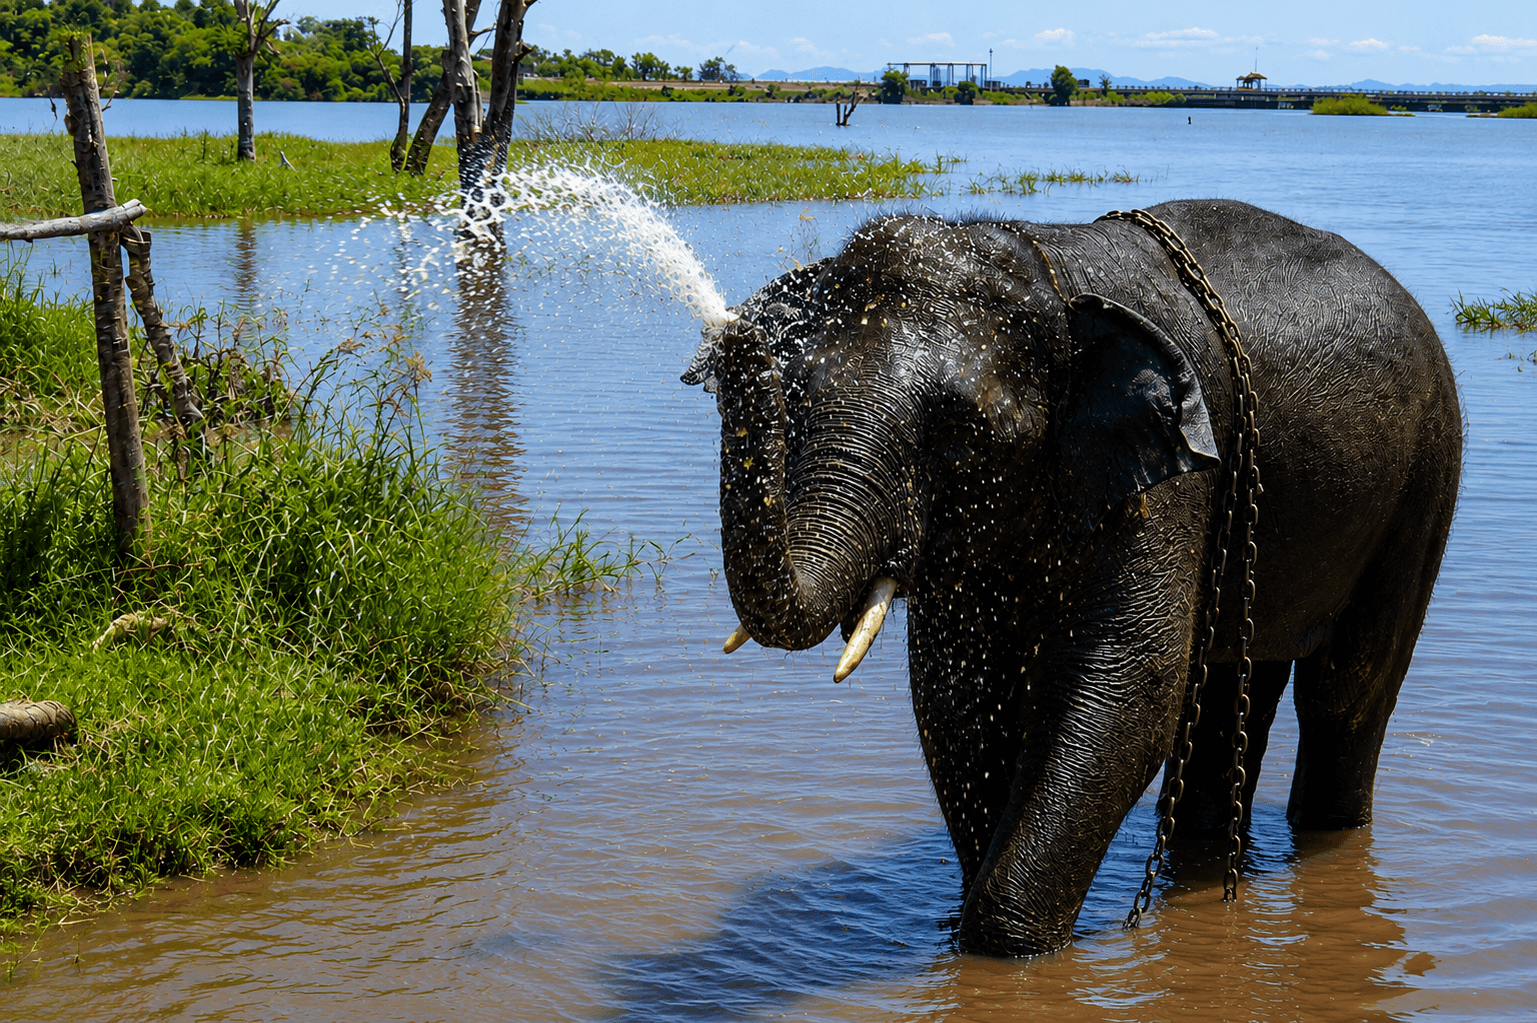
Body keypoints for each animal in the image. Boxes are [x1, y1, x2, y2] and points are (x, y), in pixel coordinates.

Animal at [681, 199, 1461, 956]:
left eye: (965, 432)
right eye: (794, 396)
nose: (730, 338)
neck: (1042, 264)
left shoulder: (1176, 474)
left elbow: (1125, 686)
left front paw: (1005, 942)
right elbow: (958, 696)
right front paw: (968, 925)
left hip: (1425, 474)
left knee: (1343, 696)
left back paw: (1327, 831)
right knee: (1225, 692)